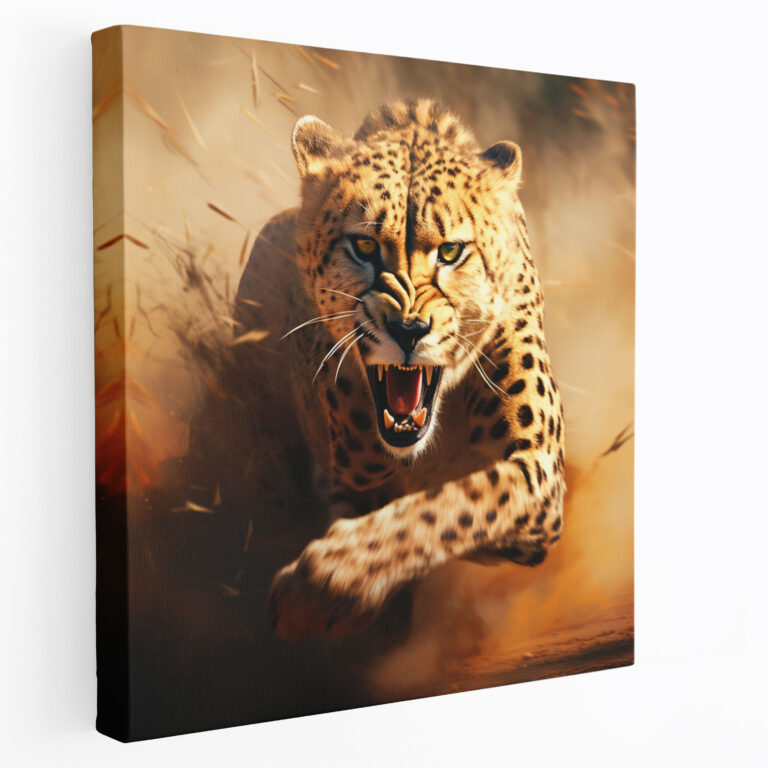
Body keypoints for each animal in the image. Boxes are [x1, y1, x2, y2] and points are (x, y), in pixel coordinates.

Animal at [233, 98, 565, 642]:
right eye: (364, 247)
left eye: (451, 251)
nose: (408, 330)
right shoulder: (355, 488)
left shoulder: (537, 473)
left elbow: (458, 502)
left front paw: (328, 583)